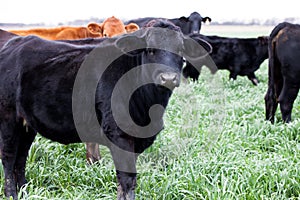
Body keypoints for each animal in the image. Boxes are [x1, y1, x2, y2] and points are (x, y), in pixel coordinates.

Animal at [0, 19, 211, 199]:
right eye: (150, 49)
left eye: (181, 50)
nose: (168, 78)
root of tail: (14, 43)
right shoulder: (119, 135)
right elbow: (127, 180)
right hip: (8, 118)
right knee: (9, 158)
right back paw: (12, 195)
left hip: (27, 124)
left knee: (21, 158)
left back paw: (24, 192)